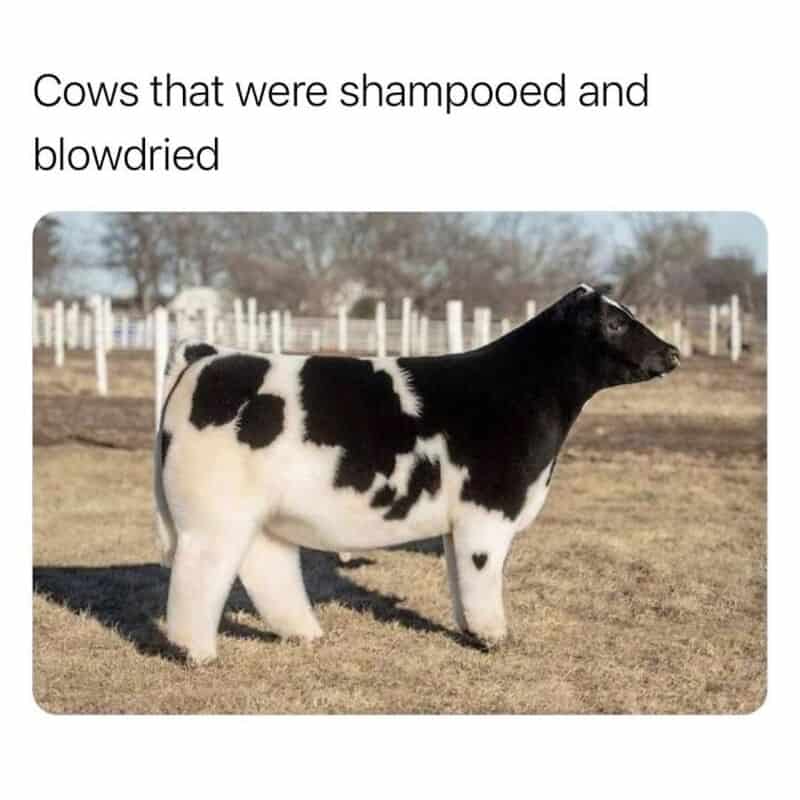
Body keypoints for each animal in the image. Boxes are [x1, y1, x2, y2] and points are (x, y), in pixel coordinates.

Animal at [154, 284, 680, 664]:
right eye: (615, 322)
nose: (673, 352)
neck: (517, 391)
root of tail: (209, 354)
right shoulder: (487, 511)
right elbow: (482, 575)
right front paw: (494, 638)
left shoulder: (460, 522)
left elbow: (459, 578)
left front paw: (470, 631)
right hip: (213, 515)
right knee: (200, 574)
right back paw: (197, 653)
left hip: (260, 515)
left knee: (266, 566)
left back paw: (305, 634)